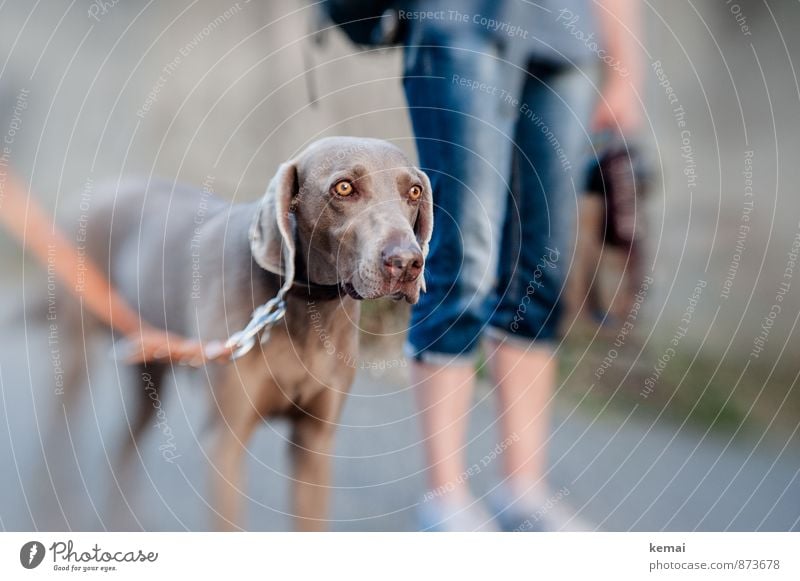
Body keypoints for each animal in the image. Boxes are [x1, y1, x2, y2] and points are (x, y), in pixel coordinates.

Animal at [76, 137, 432, 532]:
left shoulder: (315, 441)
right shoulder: (225, 441)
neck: (305, 308)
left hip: (149, 368)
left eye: (414, 191)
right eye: (343, 188)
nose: (406, 263)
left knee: (122, 443)